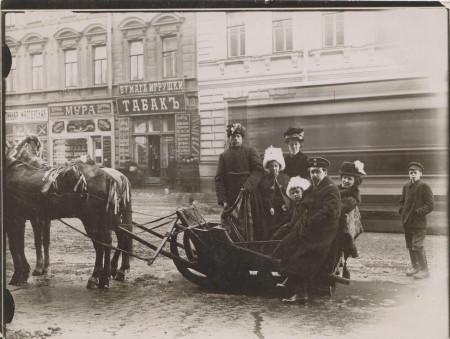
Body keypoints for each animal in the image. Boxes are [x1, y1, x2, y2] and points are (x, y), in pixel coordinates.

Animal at [4, 136, 132, 290]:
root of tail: (110, 177)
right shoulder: (28, 218)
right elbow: (28, 243)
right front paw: (31, 271)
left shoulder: (16, 217)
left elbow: (16, 245)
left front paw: (20, 274)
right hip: (105, 219)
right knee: (112, 241)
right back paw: (108, 274)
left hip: (92, 219)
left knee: (105, 243)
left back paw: (101, 277)